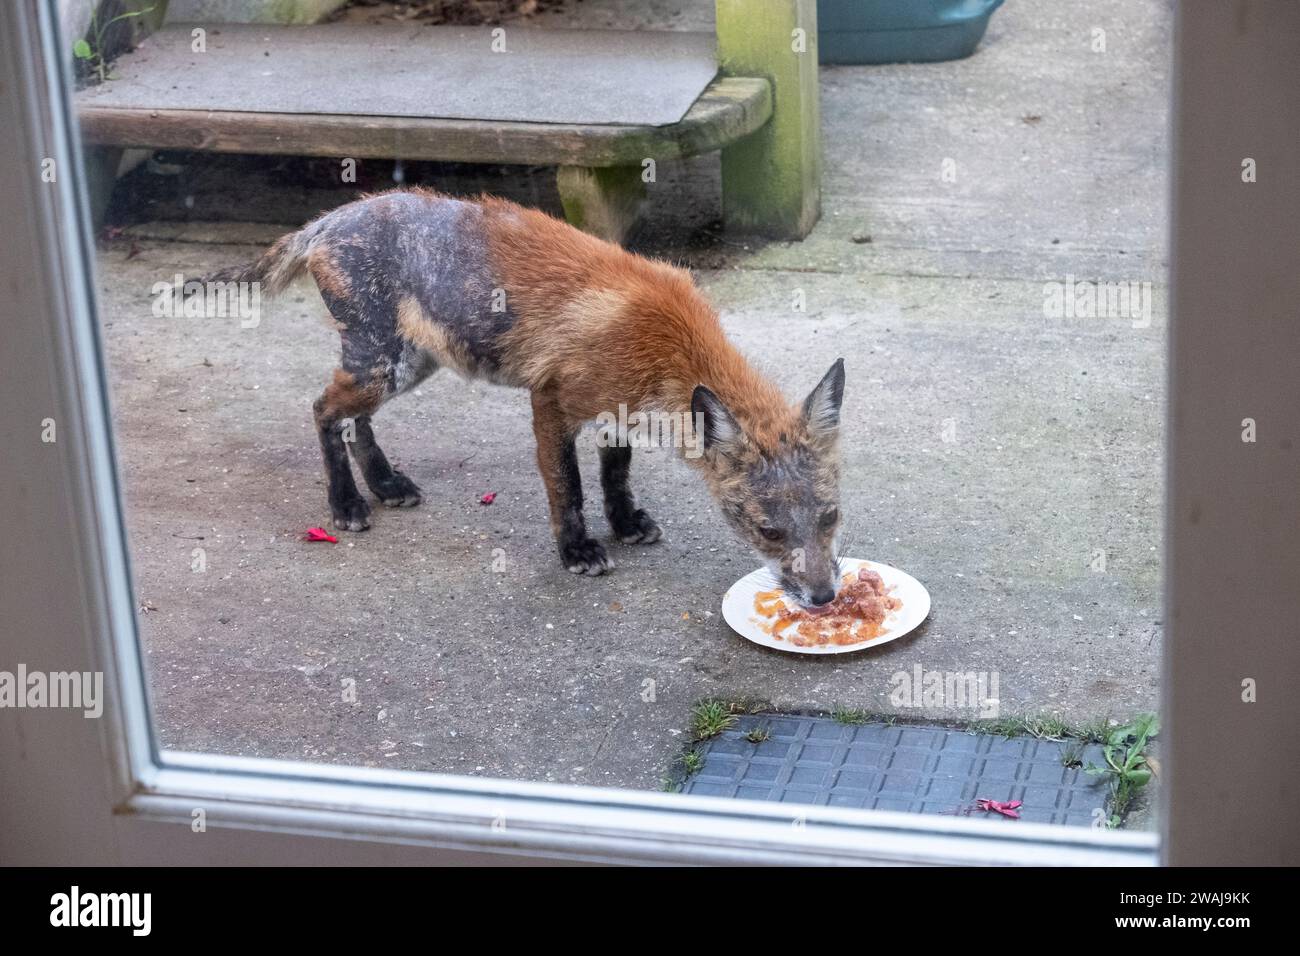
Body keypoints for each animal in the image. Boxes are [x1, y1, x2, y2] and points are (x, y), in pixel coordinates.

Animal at [211, 189, 847, 606]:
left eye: (831, 516)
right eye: (769, 532)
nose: (823, 598)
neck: (665, 340)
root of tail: (327, 219)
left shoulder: (617, 412)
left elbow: (615, 475)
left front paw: (624, 522)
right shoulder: (552, 402)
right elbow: (569, 488)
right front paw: (578, 551)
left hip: (407, 366)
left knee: (354, 419)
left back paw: (386, 483)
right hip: (382, 365)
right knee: (323, 411)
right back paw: (346, 502)